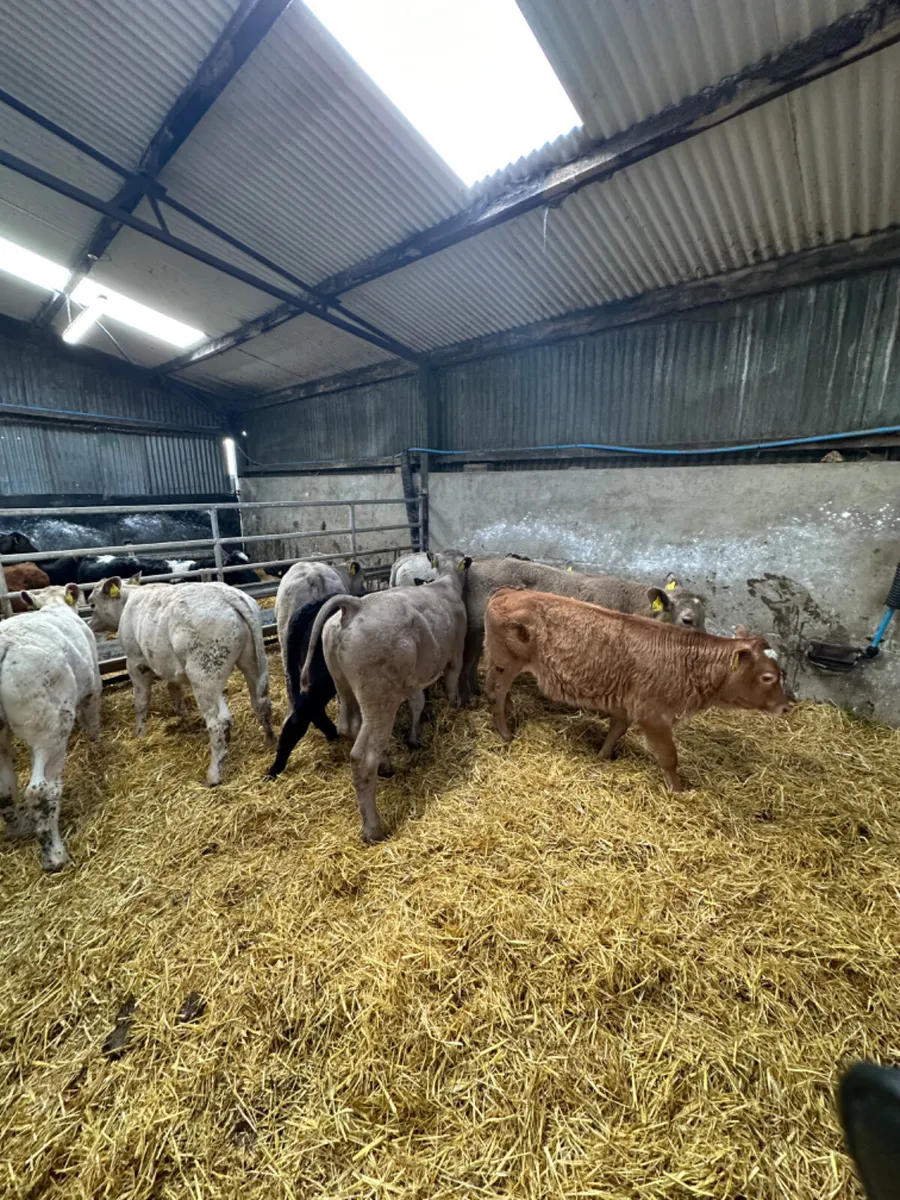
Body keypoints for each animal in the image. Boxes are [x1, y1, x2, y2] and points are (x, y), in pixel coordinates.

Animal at [0, 582, 101, 871]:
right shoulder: (94, 687)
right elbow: (93, 722)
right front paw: (98, 746)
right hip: (50, 729)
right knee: (40, 790)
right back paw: (54, 854)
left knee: (4, 789)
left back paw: (20, 827)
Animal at [88, 578, 273, 786]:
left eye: (92, 604)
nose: (89, 624)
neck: (127, 600)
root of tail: (228, 595)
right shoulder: (169, 666)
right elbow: (174, 689)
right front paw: (182, 715)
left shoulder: (136, 663)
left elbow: (141, 701)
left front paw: (140, 733)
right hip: (252, 662)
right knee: (261, 702)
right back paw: (269, 741)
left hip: (204, 675)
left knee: (219, 722)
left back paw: (213, 776)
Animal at [298, 554, 470, 844]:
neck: (445, 582)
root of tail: (355, 606)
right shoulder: (456, 650)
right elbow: (452, 680)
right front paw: (455, 706)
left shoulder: (413, 678)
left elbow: (417, 704)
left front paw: (414, 738)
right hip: (380, 696)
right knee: (363, 755)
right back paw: (373, 829)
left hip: (345, 686)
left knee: (350, 726)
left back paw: (386, 764)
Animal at [483, 588, 788, 792]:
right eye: (768, 677)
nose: (786, 706)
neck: (685, 661)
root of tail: (507, 592)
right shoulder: (652, 713)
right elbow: (669, 756)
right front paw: (678, 791)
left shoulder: (625, 701)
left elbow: (616, 730)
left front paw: (603, 757)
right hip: (505, 662)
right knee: (495, 695)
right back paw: (506, 734)